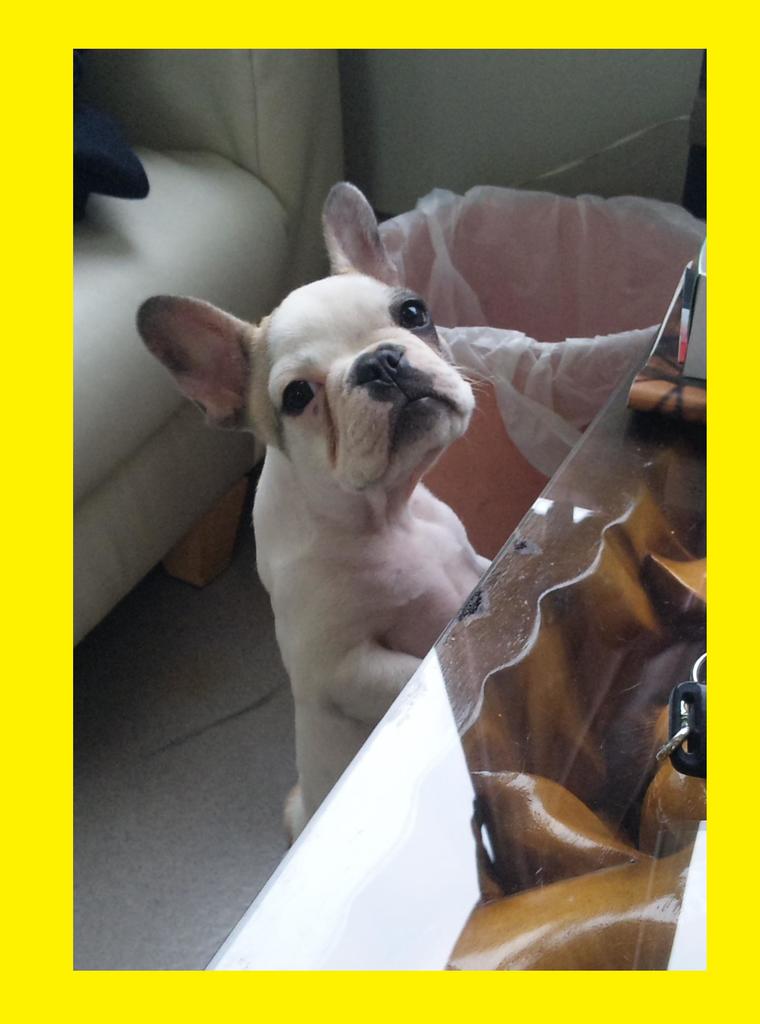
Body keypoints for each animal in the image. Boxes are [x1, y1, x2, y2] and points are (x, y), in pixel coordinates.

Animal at [137, 182, 489, 840]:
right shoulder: (342, 670)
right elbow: (417, 669)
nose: (381, 362)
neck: (387, 515)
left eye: (413, 313)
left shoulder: (471, 563)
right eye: (297, 396)